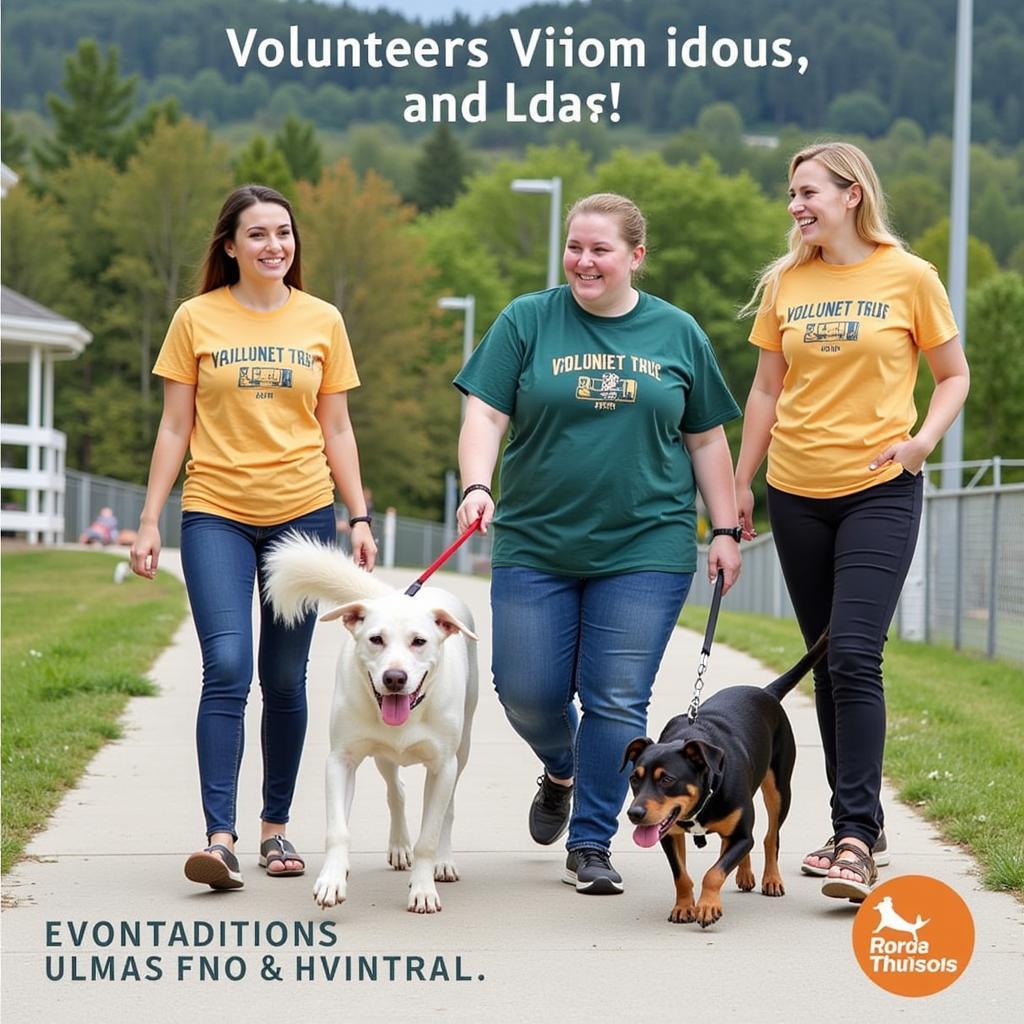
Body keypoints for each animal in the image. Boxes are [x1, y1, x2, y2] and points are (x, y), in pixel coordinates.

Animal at [260, 536, 475, 913]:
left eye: (419, 641)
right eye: (376, 639)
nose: (394, 678)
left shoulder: (443, 766)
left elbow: (429, 836)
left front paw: (423, 888)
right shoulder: (340, 760)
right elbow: (338, 829)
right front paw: (332, 880)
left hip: (461, 752)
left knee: (446, 808)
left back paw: (444, 862)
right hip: (383, 755)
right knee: (396, 790)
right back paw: (398, 846)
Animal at [618, 630, 827, 929]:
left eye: (667, 779)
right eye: (634, 779)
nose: (634, 814)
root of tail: (766, 692)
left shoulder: (741, 835)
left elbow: (714, 872)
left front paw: (707, 907)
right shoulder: (669, 834)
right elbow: (682, 875)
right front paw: (684, 907)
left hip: (779, 790)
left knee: (769, 837)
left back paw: (771, 879)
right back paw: (744, 874)